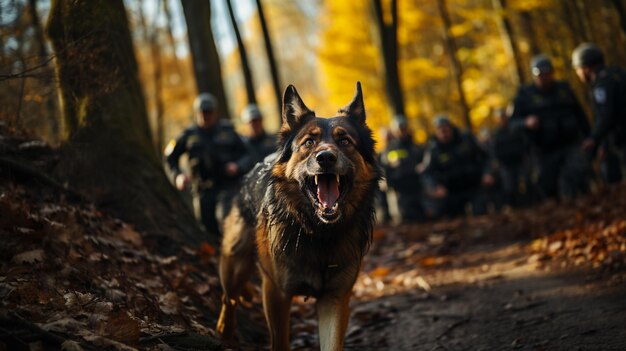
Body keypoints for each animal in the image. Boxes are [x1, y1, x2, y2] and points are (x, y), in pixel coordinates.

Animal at [214, 83, 380, 351]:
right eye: (309, 142)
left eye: (345, 141)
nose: (326, 158)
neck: (318, 233)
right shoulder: (275, 293)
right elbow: (279, 342)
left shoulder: (335, 299)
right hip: (234, 263)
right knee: (228, 297)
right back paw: (225, 331)